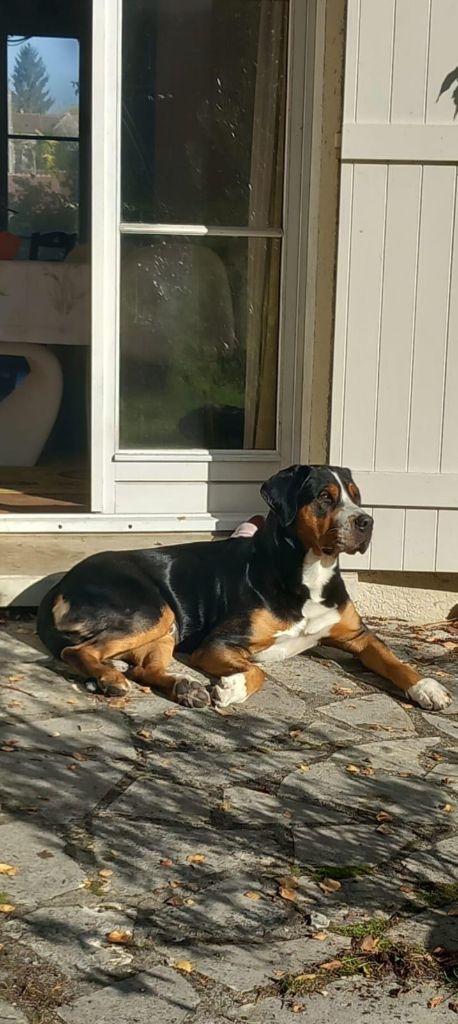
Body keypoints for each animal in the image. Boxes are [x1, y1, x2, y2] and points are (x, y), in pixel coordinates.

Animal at [37, 464, 451, 712]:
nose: (367, 522)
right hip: (151, 611)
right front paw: (232, 688)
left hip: (166, 624)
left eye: (356, 495)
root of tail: (61, 583)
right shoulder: (219, 643)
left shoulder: (357, 635)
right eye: (324, 497)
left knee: (144, 668)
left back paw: (183, 687)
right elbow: (258, 672)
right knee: (78, 651)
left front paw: (427, 687)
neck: (309, 573)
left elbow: (393, 659)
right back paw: (110, 677)